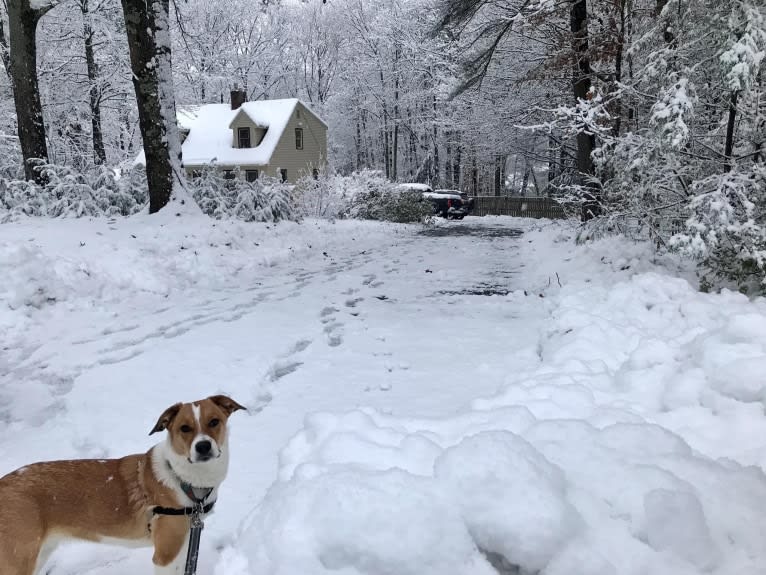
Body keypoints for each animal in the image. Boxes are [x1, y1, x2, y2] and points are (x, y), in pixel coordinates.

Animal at [0, 396, 244, 575]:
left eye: (214, 422)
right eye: (185, 428)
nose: (203, 447)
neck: (183, 478)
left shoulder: (184, 544)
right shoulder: (164, 555)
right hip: (18, 559)